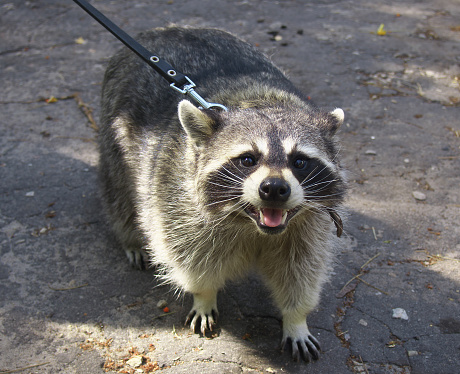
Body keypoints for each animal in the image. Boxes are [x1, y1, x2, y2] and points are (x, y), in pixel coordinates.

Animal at [99, 26, 346, 362]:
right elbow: (191, 259)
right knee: (120, 192)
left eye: (299, 161)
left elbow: (301, 270)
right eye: (248, 159)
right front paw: (204, 296)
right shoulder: (177, 198)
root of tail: (158, 30)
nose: (274, 189)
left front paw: (296, 318)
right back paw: (131, 237)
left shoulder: (309, 225)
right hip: (116, 129)